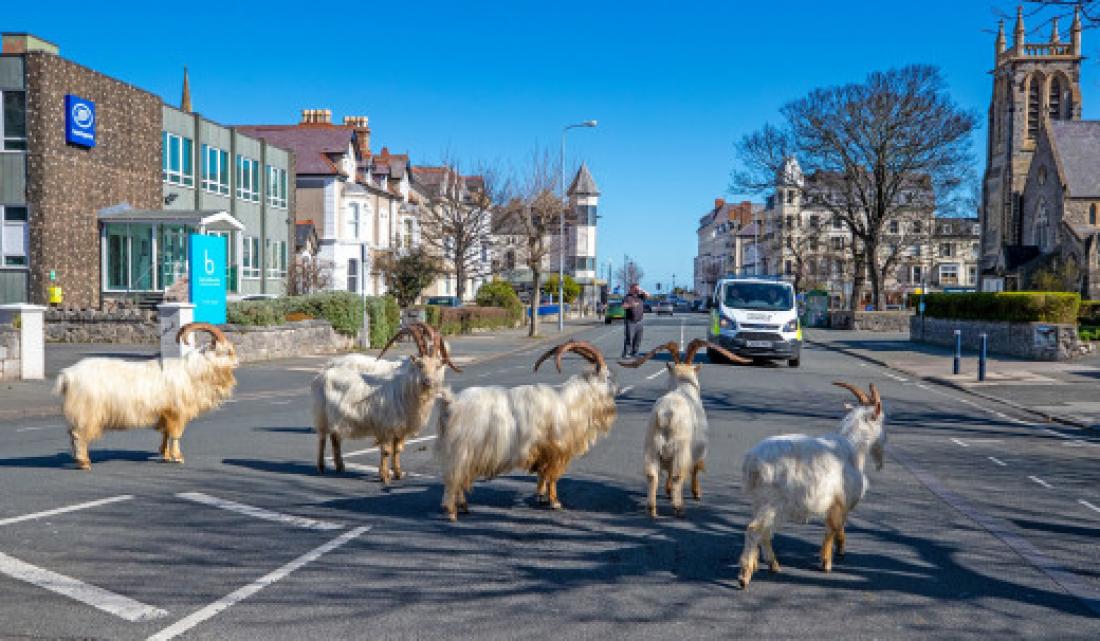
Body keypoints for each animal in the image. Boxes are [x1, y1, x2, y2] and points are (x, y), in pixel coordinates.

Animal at [52, 323, 237, 468]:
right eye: (227, 351)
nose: (237, 362)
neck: (192, 371)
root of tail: (67, 375)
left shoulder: (164, 414)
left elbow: (165, 434)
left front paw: (166, 455)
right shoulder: (177, 412)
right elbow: (176, 435)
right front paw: (178, 457)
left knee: (72, 434)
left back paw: (78, 460)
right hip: (87, 412)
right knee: (78, 435)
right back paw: (84, 462)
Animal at [310, 323, 459, 483]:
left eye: (437, 365)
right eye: (420, 364)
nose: (428, 381)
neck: (404, 390)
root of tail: (323, 372)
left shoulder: (401, 428)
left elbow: (398, 449)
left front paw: (398, 473)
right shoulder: (385, 427)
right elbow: (386, 451)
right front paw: (385, 477)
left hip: (337, 417)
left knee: (335, 438)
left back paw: (340, 466)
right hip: (321, 415)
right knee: (322, 438)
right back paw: (321, 467)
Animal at [433, 340, 616, 521]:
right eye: (608, 376)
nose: (618, 388)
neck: (569, 403)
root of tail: (451, 402)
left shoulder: (543, 452)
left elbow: (543, 475)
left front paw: (542, 497)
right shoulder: (557, 450)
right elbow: (552, 477)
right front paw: (555, 502)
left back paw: (463, 507)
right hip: (462, 450)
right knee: (454, 478)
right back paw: (452, 511)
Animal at [620, 338, 748, 518]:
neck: (683, 388)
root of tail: (666, 413)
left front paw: (667, 492)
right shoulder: (699, 448)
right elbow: (695, 468)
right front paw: (697, 493)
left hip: (652, 445)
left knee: (652, 475)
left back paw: (652, 509)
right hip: (680, 447)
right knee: (677, 475)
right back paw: (678, 507)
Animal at [734, 384, 888, 589]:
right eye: (882, 420)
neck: (854, 447)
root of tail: (752, 463)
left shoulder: (836, 503)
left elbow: (837, 527)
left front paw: (839, 551)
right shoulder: (840, 501)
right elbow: (833, 528)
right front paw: (827, 562)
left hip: (761, 502)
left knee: (764, 532)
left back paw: (773, 565)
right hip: (773, 502)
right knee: (754, 530)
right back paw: (745, 576)